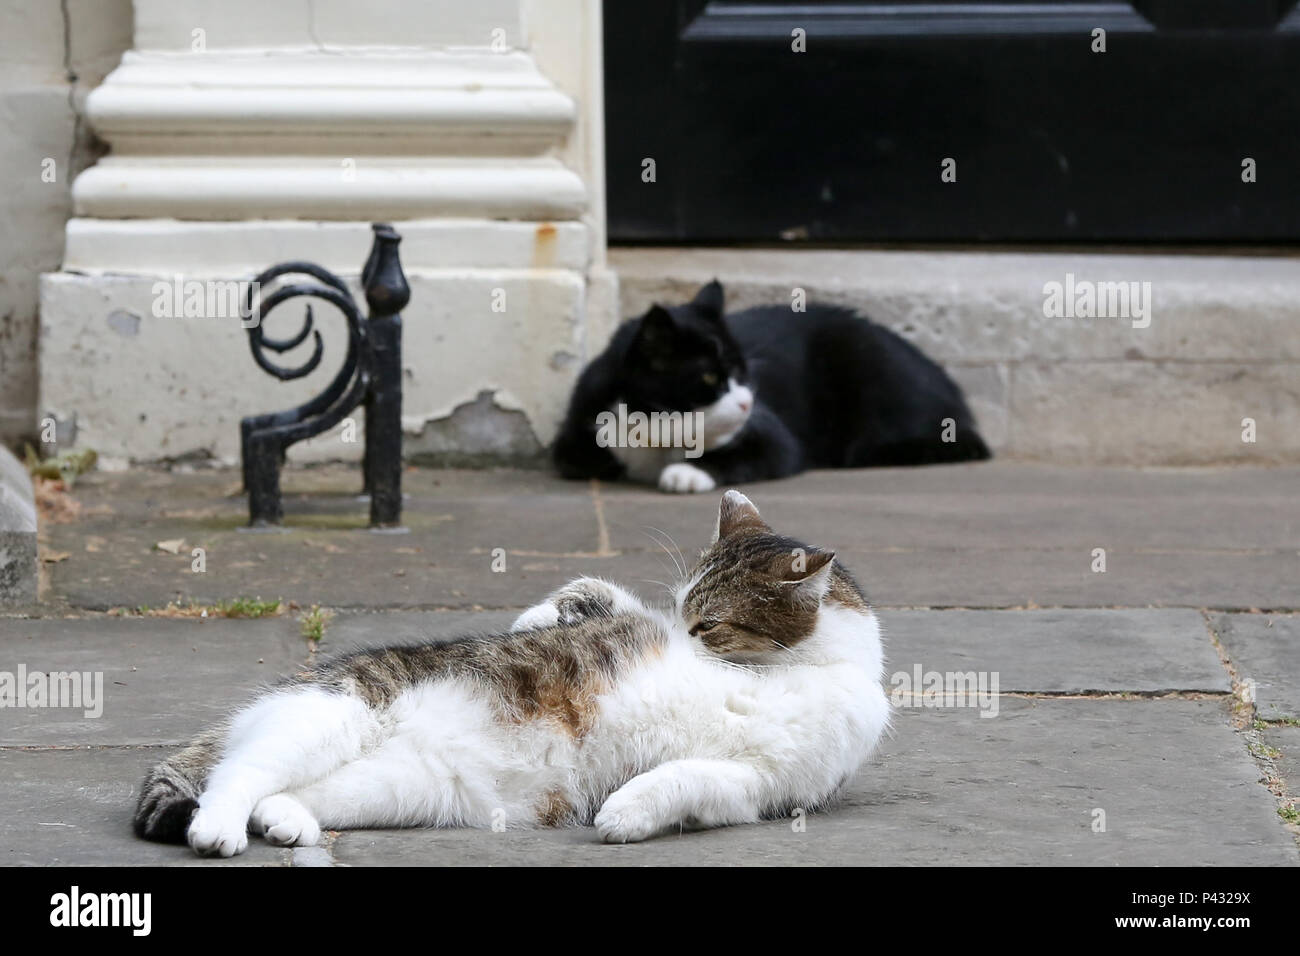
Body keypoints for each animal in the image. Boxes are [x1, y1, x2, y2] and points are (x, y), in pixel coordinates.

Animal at [137, 494, 889, 853]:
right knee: (238, 774)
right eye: (682, 614)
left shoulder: (764, 783)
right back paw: (218, 829)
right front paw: (551, 616)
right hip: (333, 712)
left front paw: (625, 813)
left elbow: (688, 779)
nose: (682, 633)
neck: (799, 669)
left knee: (293, 791)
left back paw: (286, 821)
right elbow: (596, 597)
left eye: (706, 624)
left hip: (405, 784)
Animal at [553, 280, 987, 494]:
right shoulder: (580, 422)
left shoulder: (777, 440)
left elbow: (756, 454)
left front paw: (688, 472)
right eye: (710, 378)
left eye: (744, 373)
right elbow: (574, 457)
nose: (748, 403)